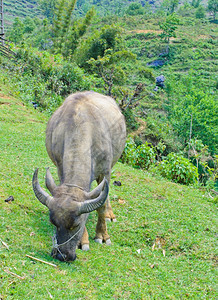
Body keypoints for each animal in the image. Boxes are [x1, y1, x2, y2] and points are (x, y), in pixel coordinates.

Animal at [31, 91, 125, 260]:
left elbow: (101, 205)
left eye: (76, 225)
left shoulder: (105, 171)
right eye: (53, 223)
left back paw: (110, 214)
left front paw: (102, 235)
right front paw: (83, 240)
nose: (62, 255)